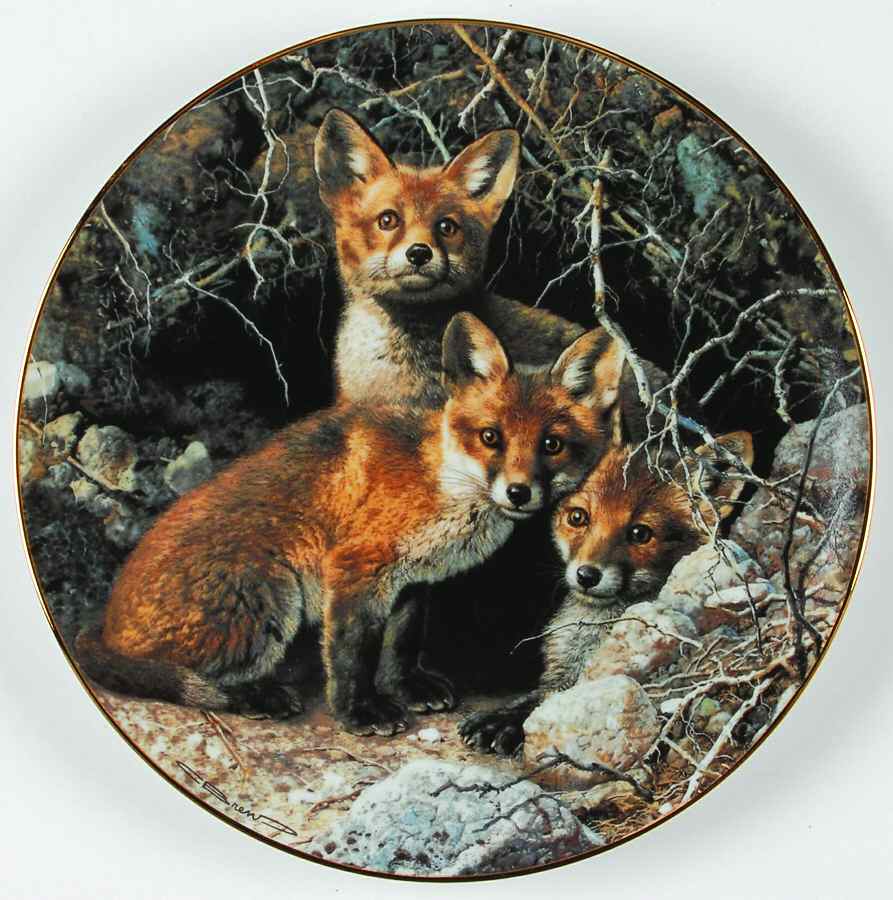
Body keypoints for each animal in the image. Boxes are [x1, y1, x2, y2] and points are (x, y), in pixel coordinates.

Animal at [76, 313, 627, 736]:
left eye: (552, 445)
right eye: (491, 437)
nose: (519, 492)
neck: (438, 482)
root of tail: (105, 621)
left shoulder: (412, 581)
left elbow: (401, 645)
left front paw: (408, 688)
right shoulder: (355, 566)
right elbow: (350, 655)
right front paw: (358, 713)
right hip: (269, 598)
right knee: (192, 675)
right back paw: (257, 695)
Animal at [458, 428, 754, 755]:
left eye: (640, 533)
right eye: (578, 517)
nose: (586, 575)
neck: (596, 630)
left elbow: (544, 704)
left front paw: (504, 725)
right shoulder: (562, 671)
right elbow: (536, 695)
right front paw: (500, 717)